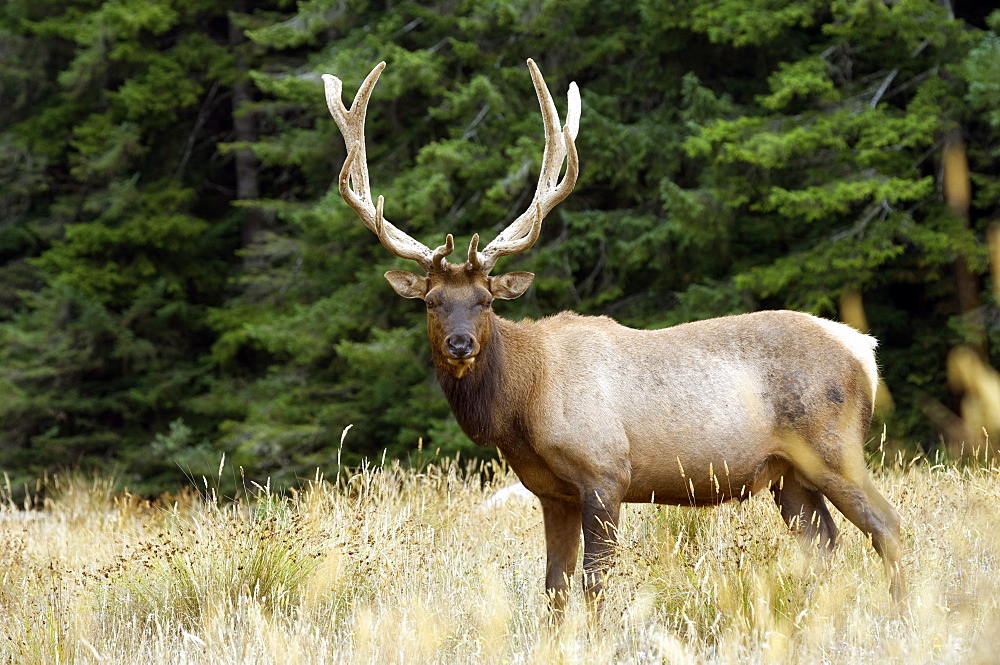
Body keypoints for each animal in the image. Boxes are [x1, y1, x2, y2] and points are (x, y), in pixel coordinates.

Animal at [322, 59, 908, 608]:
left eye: (485, 301)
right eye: (431, 302)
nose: (460, 344)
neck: (525, 402)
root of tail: (863, 348)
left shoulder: (605, 473)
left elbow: (595, 582)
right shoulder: (550, 492)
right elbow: (555, 586)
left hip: (833, 446)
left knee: (886, 523)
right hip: (788, 473)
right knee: (823, 543)